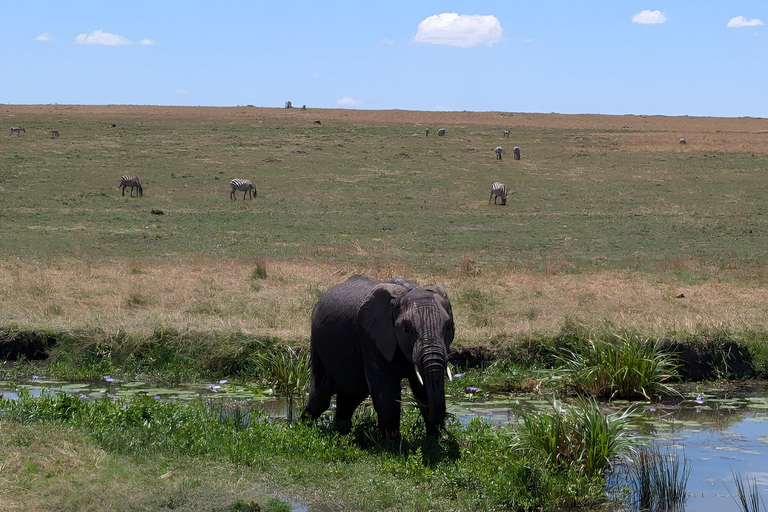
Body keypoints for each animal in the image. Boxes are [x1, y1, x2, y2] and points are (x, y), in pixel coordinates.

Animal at [302, 276, 456, 436]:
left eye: (448, 327)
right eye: (406, 329)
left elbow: (421, 387)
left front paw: (434, 438)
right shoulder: (371, 337)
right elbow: (386, 390)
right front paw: (390, 441)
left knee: (351, 397)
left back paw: (342, 432)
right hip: (318, 345)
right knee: (320, 398)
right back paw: (305, 427)